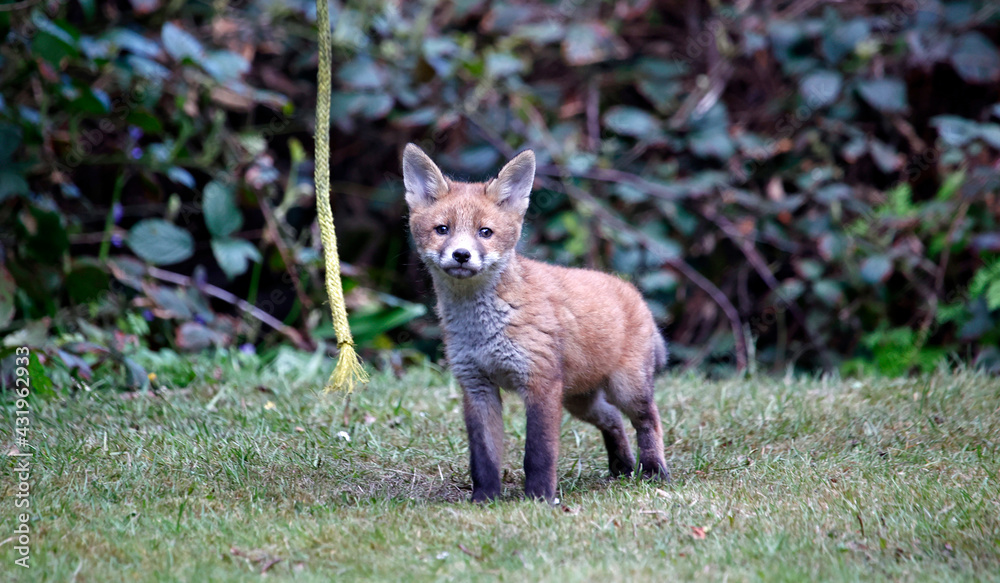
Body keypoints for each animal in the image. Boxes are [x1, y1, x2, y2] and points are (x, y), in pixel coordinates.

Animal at [403, 143, 669, 503]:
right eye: (442, 229)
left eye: (485, 232)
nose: (461, 255)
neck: (483, 328)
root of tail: (632, 290)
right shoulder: (476, 386)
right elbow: (483, 455)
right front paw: (484, 499)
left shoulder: (540, 382)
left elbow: (539, 452)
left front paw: (540, 498)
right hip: (578, 400)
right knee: (612, 419)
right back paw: (622, 467)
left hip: (626, 389)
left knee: (648, 420)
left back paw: (653, 470)